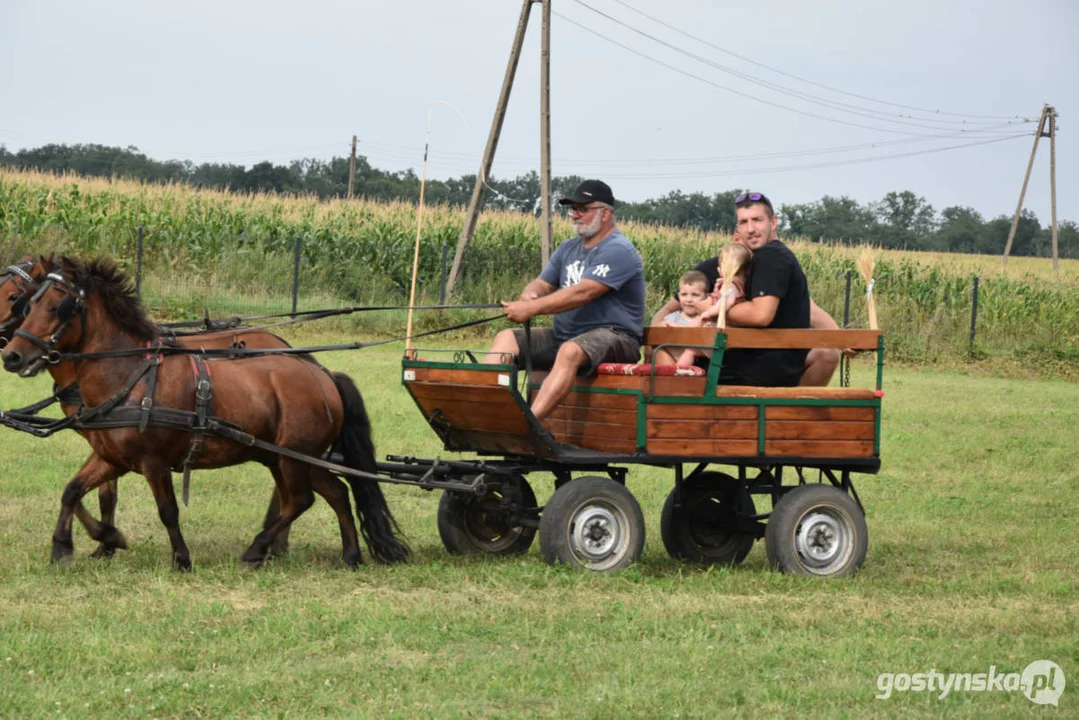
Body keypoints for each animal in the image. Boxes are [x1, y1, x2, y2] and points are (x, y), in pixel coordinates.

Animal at [0, 257, 407, 569]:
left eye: (55, 307)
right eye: (29, 305)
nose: (12, 356)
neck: (131, 374)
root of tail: (322, 373)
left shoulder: (153, 461)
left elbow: (166, 510)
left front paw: (179, 558)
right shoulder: (110, 455)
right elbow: (75, 492)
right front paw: (79, 544)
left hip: (295, 456)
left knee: (300, 500)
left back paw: (258, 549)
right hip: (288, 457)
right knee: (335, 492)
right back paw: (349, 554)